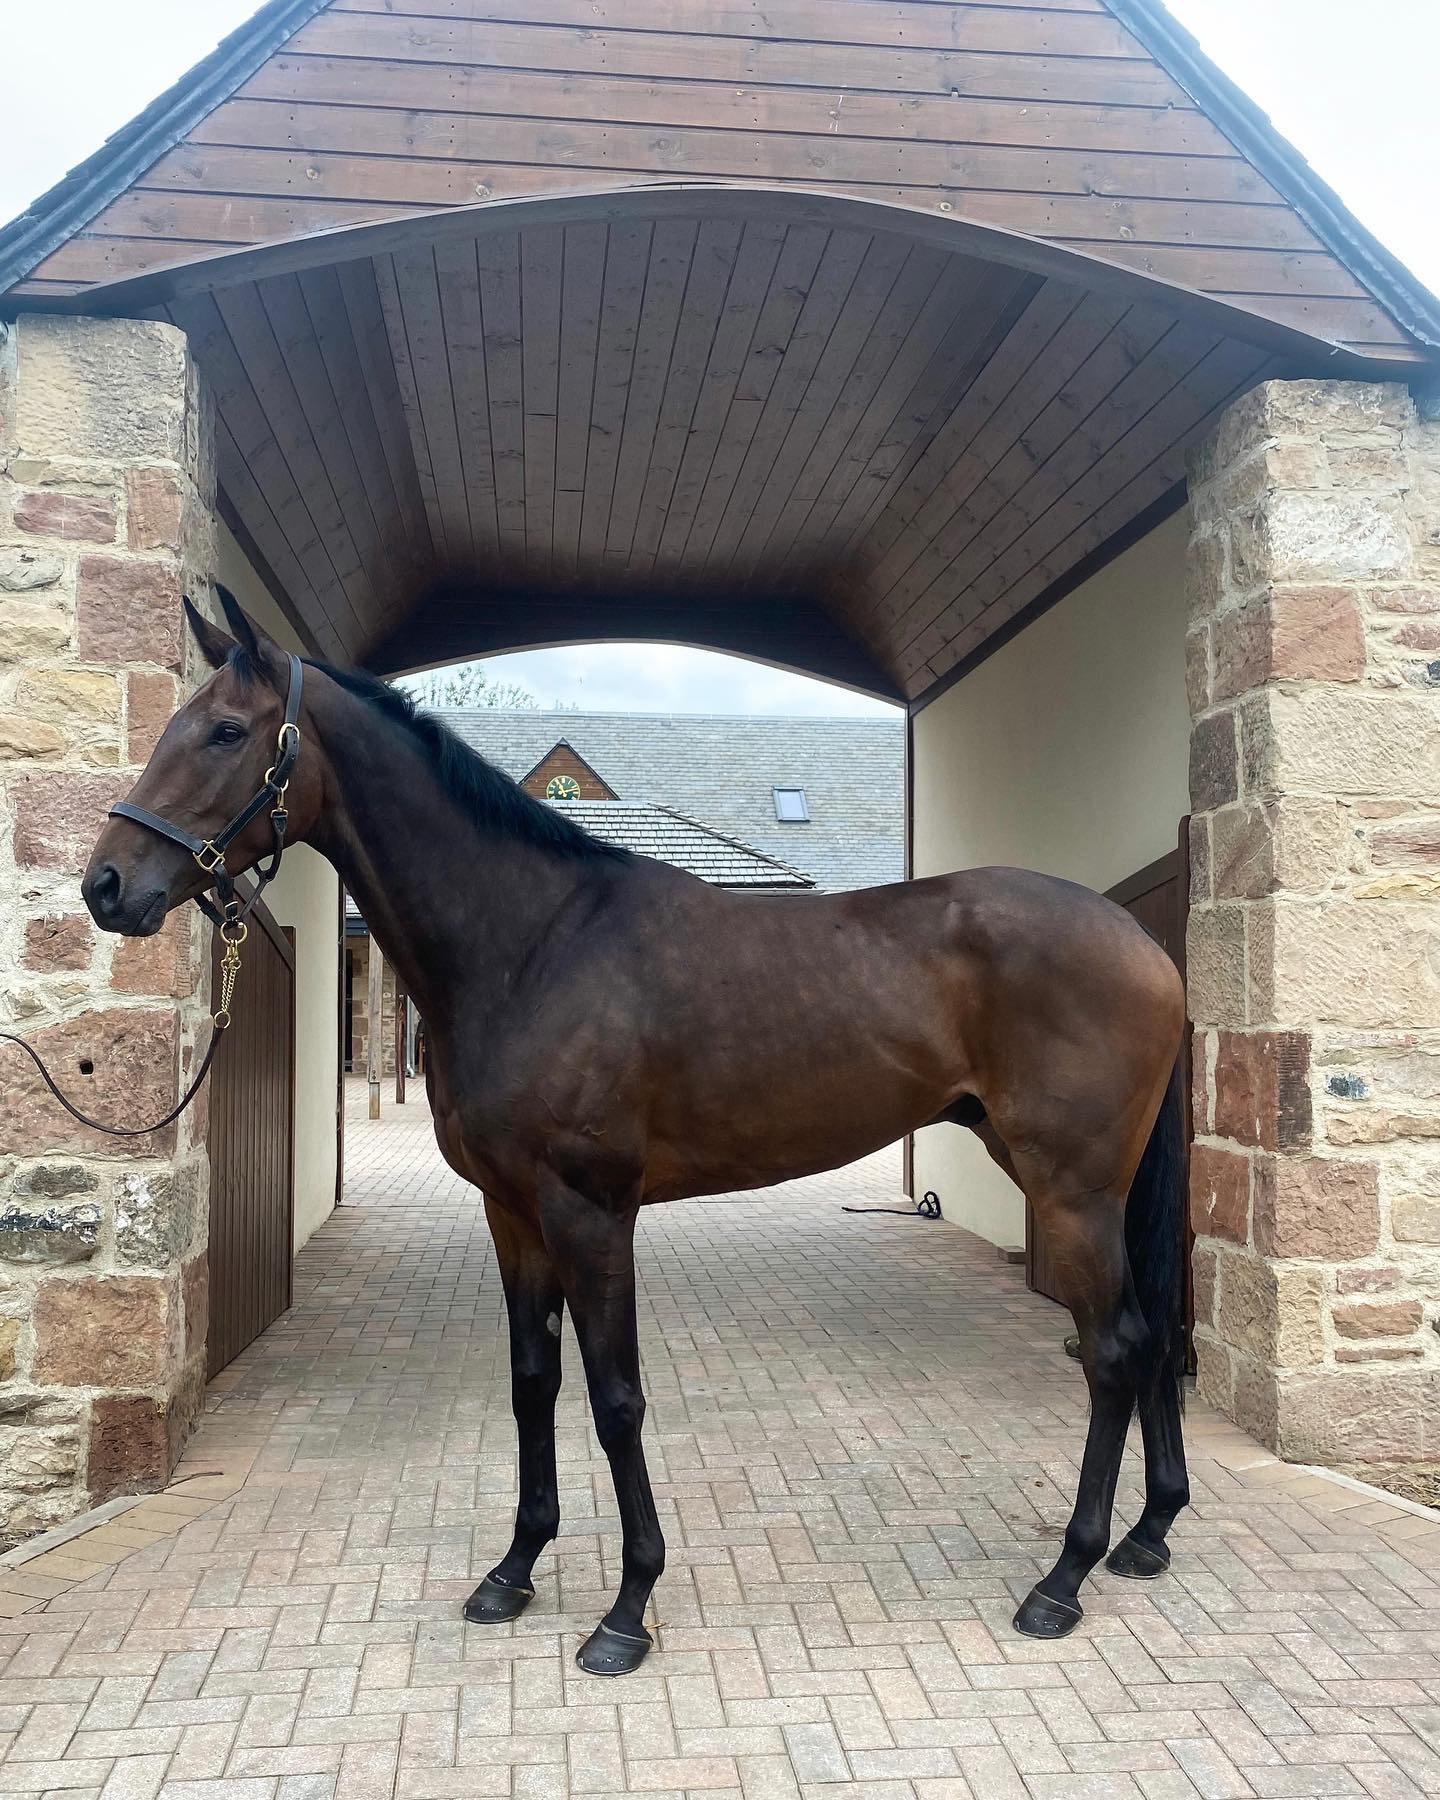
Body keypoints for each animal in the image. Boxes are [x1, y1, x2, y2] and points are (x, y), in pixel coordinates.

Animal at [81, 590, 1188, 1675]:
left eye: (226, 731)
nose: (106, 885)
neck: (532, 943)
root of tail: (1143, 943)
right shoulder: (514, 1214)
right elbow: (534, 1383)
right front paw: (513, 1572)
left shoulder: (592, 1211)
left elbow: (616, 1398)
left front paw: (626, 1610)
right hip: (1099, 1187)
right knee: (1151, 1335)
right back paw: (1147, 1535)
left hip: (1072, 1190)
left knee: (1114, 1350)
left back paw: (1062, 1580)